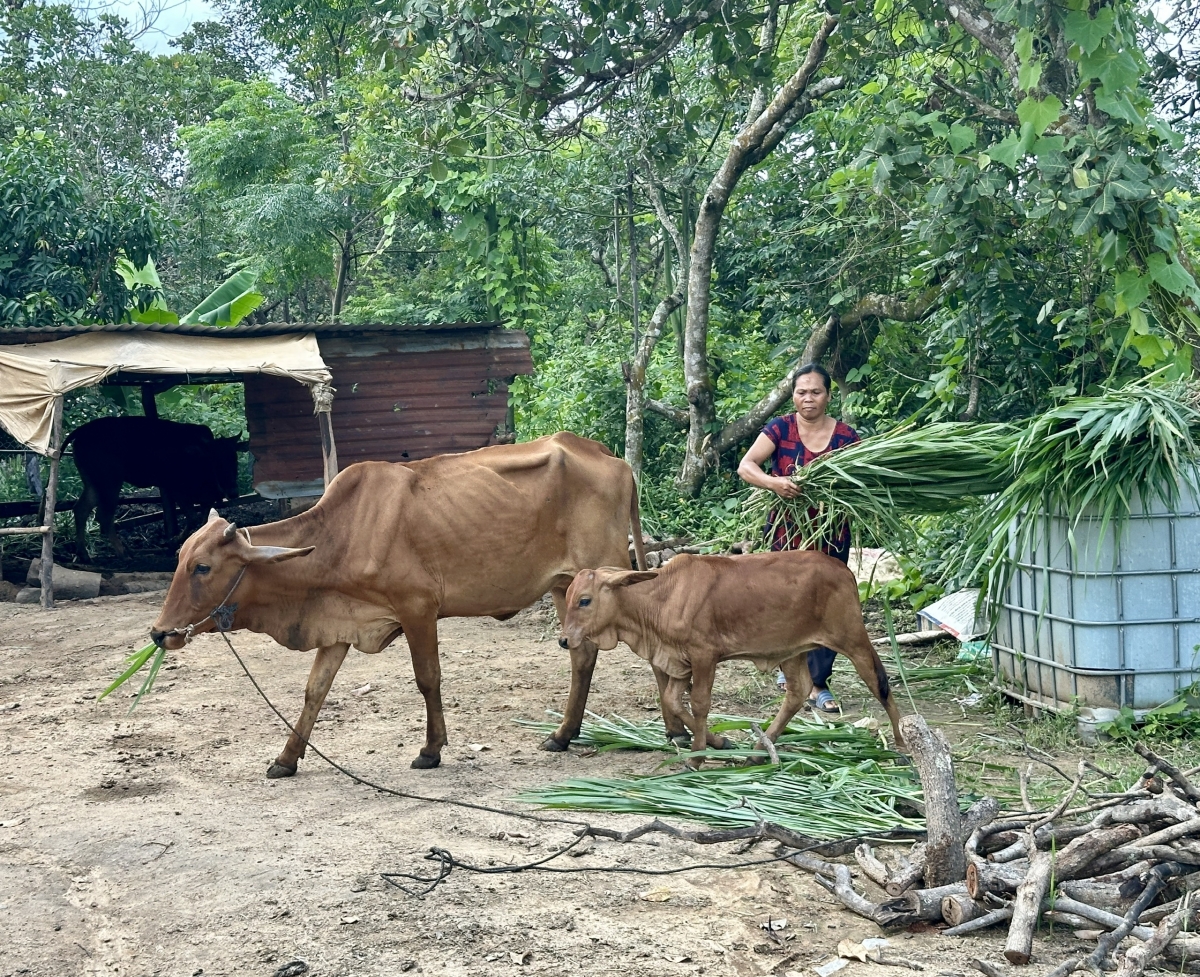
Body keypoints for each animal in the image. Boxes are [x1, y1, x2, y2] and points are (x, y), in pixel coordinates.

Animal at [150, 432, 648, 777]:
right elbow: (315, 690)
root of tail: (609, 457)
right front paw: (286, 759)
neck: (340, 536)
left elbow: (428, 678)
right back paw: (562, 735)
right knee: (582, 656)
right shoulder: (341, 626)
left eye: (202, 567)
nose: (159, 633)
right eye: (179, 559)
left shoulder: (417, 608)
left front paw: (431, 750)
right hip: (566, 587)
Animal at [556, 552, 902, 763]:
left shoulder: (704, 656)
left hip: (852, 639)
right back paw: (759, 751)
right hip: (792, 651)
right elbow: (672, 701)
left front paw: (696, 758)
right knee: (797, 692)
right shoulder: (679, 663)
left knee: (880, 683)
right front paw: (719, 743)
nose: (564, 639)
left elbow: (699, 704)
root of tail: (843, 569)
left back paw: (901, 746)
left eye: (584, 600)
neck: (660, 598)